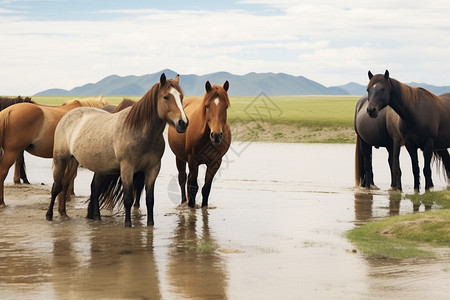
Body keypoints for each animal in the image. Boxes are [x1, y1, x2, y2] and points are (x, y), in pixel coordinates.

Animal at [48, 74, 190, 226]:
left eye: (181, 97)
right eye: (166, 97)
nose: (183, 123)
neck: (140, 132)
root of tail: (67, 116)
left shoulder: (152, 169)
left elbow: (150, 200)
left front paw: (150, 224)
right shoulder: (127, 169)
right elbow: (128, 198)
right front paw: (128, 223)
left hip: (97, 166)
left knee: (94, 188)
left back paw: (96, 217)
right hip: (61, 160)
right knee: (56, 186)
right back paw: (49, 215)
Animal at [169, 81, 232, 209]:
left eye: (225, 107)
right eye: (207, 106)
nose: (216, 135)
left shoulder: (215, 163)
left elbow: (206, 188)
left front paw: (204, 207)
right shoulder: (193, 160)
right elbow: (193, 187)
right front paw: (191, 207)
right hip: (180, 158)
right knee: (182, 179)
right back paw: (184, 202)